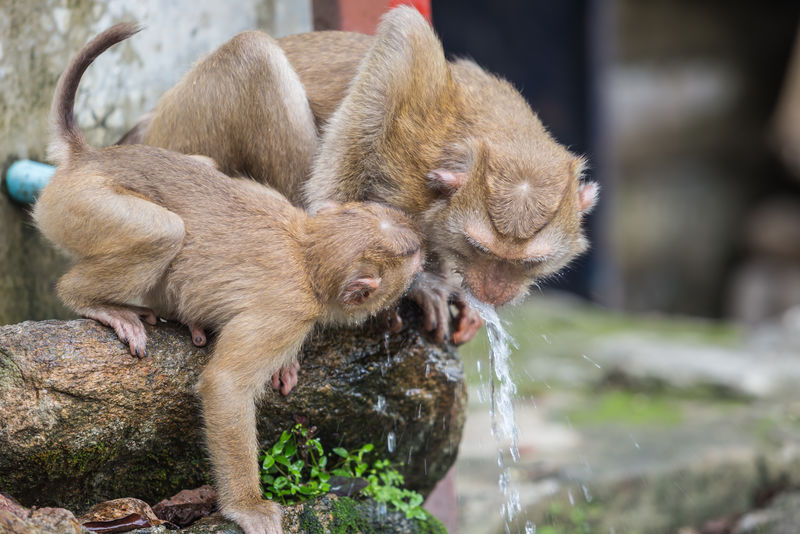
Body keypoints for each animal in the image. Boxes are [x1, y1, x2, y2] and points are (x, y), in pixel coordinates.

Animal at [36, 25, 424, 534]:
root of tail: (88, 158)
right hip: (76, 206)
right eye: (410, 270)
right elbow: (225, 388)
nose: (424, 259)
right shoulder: (290, 312)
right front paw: (247, 506)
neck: (307, 250)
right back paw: (97, 302)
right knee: (164, 232)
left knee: (204, 166)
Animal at [123, 6, 600, 346]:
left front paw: (454, 291)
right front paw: (422, 283)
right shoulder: (411, 107)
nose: (496, 291)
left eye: (526, 263)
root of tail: (146, 123)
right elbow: (399, 46)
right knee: (254, 55)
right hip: (184, 126)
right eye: (480, 248)